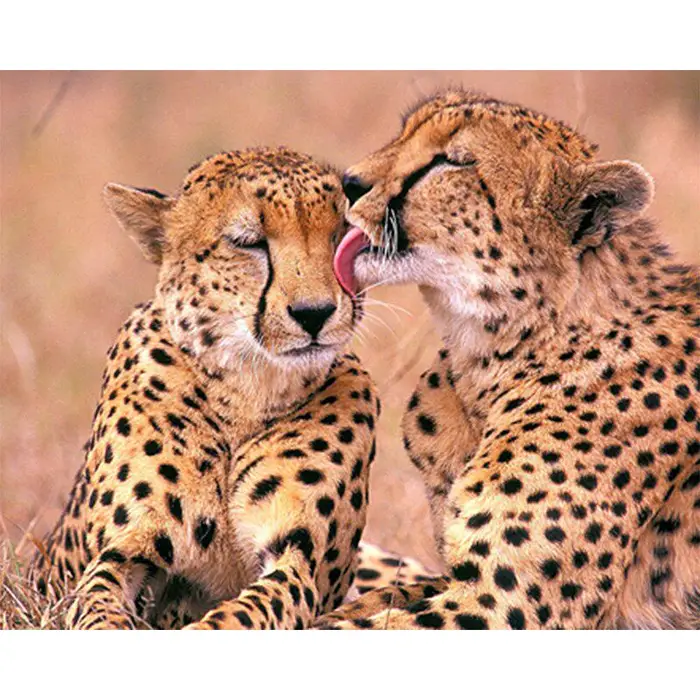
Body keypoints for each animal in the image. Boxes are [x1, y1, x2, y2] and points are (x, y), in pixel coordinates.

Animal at [28, 146, 386, 629]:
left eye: (341, 237)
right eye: (247, 242)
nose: (314, 312)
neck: (247, 390)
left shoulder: (300, 559)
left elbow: (248, 610)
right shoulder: (124, 549)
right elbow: (97, 603)